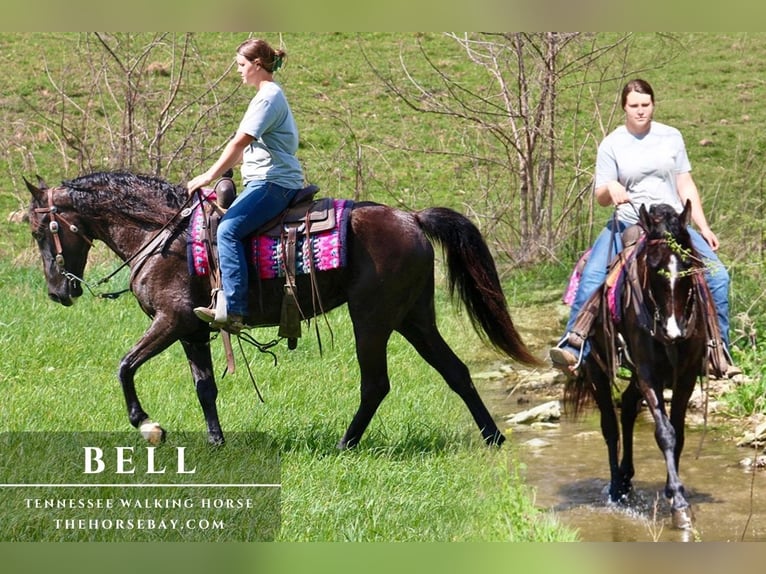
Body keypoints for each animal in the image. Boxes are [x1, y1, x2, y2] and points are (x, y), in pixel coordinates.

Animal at [26, 171, 540, 449]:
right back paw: (493, 438)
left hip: (372, 319)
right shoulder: (192, 330)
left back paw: (345, 443)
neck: (162, 235)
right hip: (414, 317)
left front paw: (148, 425)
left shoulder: (170, 321)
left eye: (38, 230)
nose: (57, 292)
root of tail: (410, 218)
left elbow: (125, 366)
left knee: (376, 383)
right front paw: (216, 441)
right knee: (455, 371)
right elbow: (205, 387)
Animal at [565, 200, 709, 530]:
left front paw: (672, 491)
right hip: (596, 367)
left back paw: (627, 477)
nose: (673, 331)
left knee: (629, 406)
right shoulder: (647, 372)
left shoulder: (686, 375)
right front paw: (679, 504)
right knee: (610, 426)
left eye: (688, 264)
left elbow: (678, 434)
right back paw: (616, 487)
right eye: (653, 268)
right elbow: (665, 433)